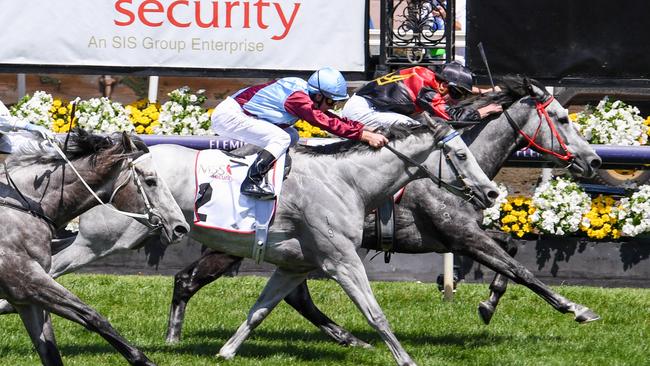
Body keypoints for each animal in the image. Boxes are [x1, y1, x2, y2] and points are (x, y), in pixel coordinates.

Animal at [0, 132, 189, 366]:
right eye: (150, 181)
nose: (181, 227)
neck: (24, 209)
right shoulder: (27, 282)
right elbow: (92, 316)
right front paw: (143, 360)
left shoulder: (26, 299)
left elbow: (51, 353)